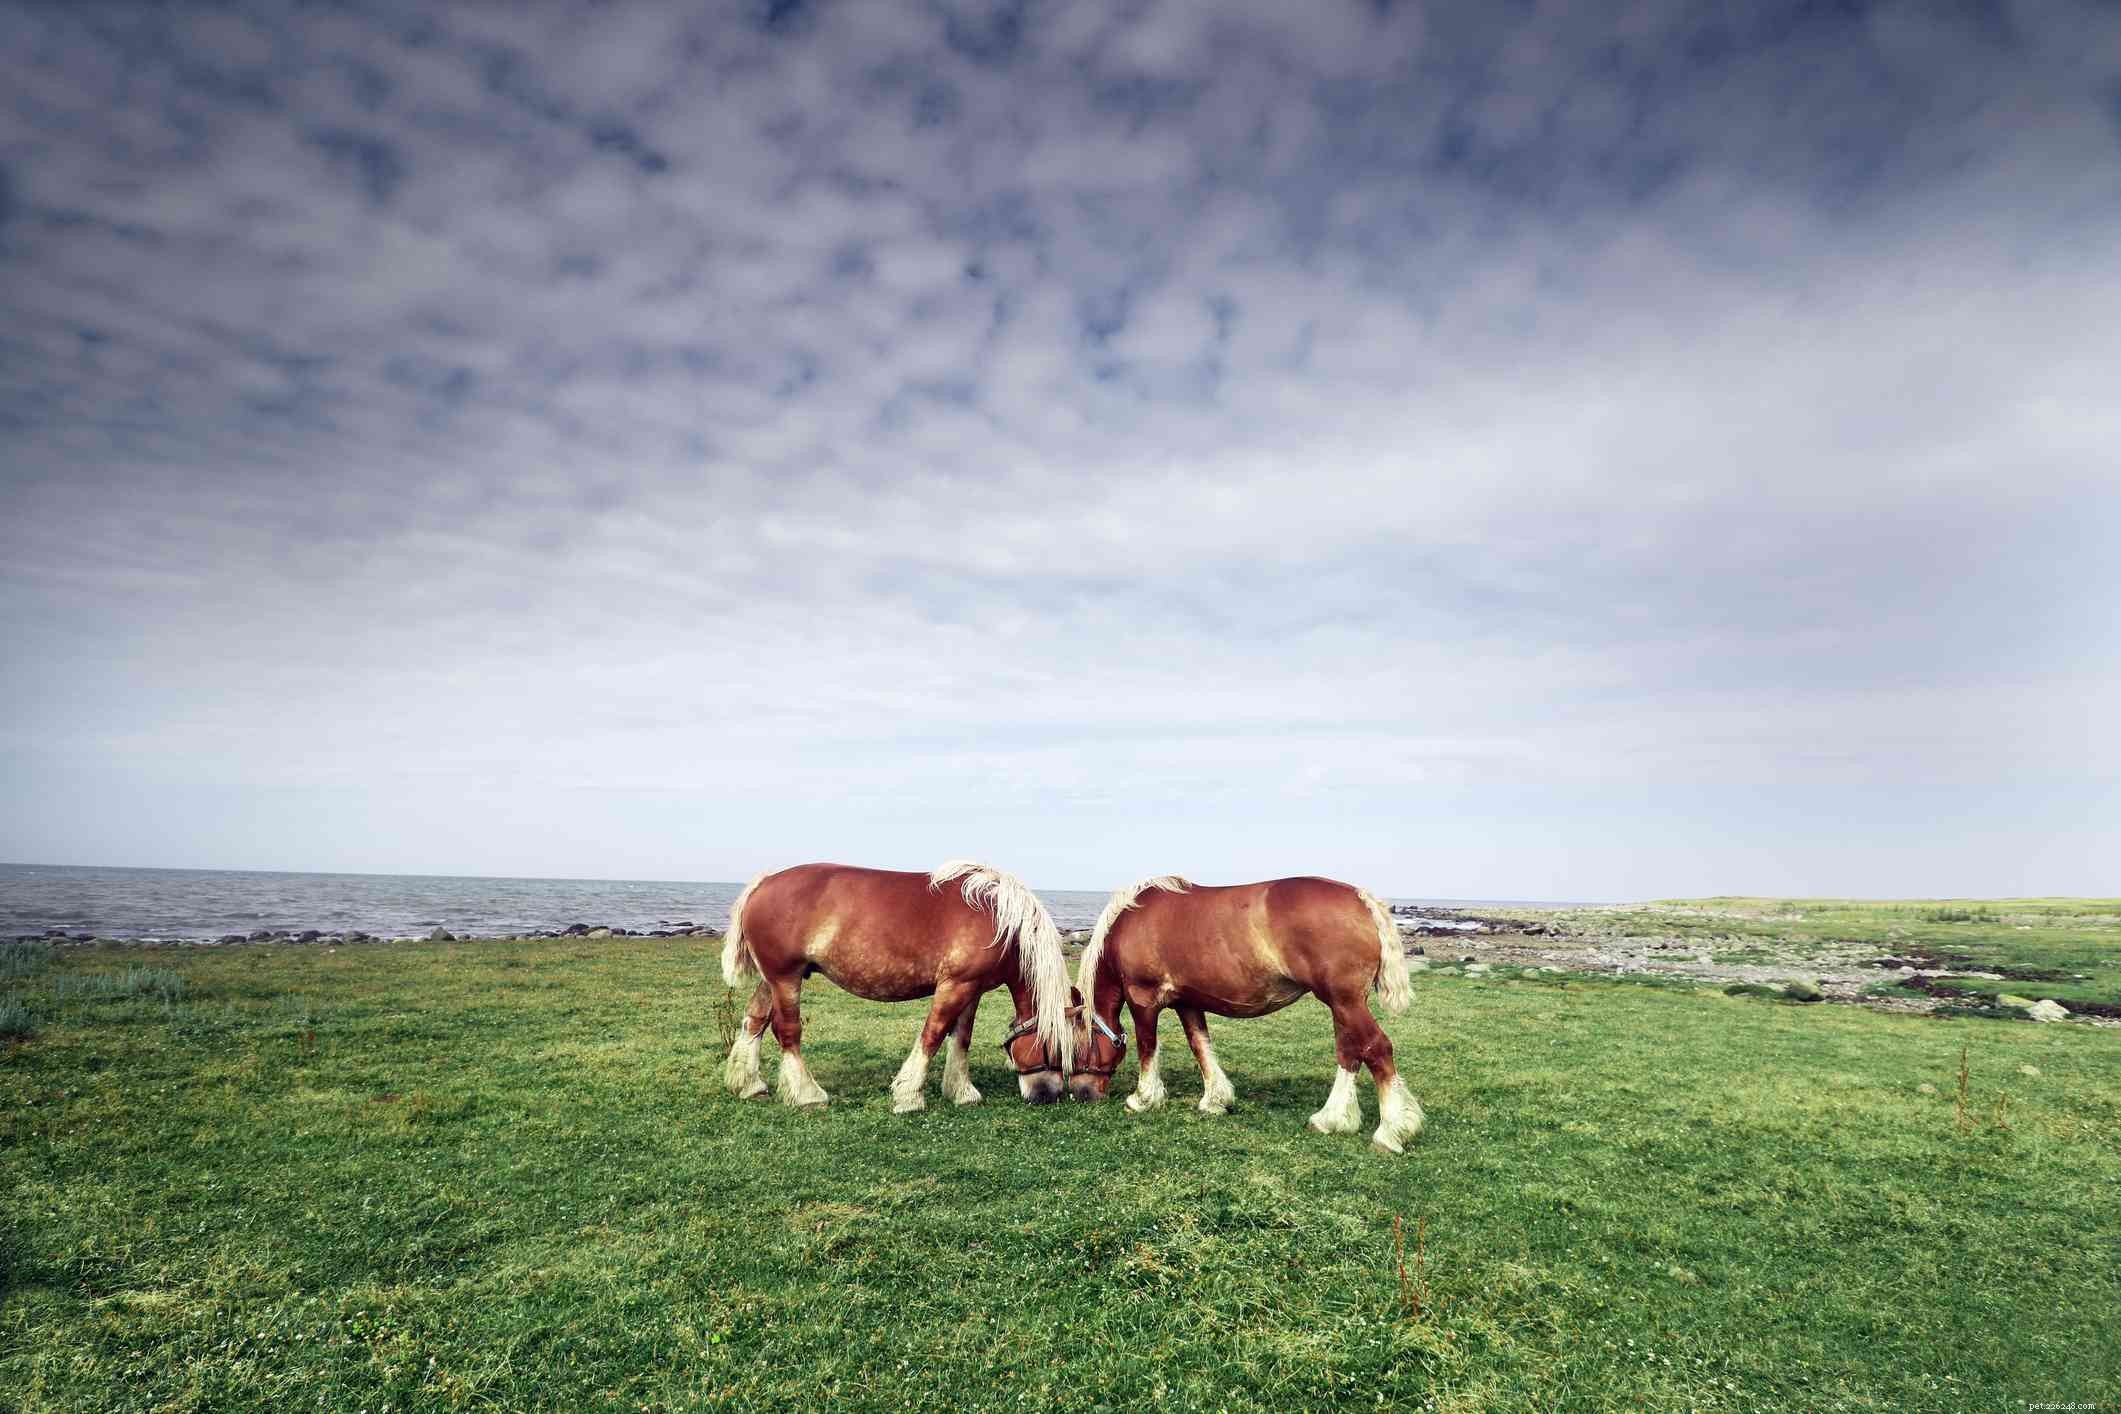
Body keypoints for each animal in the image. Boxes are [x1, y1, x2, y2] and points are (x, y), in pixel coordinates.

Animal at [719, 860, 1075, 1109]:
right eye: (1058, 1049)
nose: (1049, 1095)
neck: (999, 918)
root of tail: (763, 882)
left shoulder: (971, 990)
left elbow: (961, 1038)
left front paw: (961, 1092)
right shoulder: (955, 985)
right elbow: (933, 1035)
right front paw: (909, 1096)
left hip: (772, 979)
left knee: (754, 1021)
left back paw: (748, 1084)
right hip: (785, 978)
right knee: (787, 1031)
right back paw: (808, 1094)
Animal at [1066, 875, 1424, 1153]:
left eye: (1075, 1049)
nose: (1081, 1094)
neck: (1132, 921)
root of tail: (1362, 899)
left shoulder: (1143, 999)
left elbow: (1147, 1048)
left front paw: (1142, 1099)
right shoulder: (1188, 1003)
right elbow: (1200, 1046)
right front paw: (1215, 1100)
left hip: (1345, 1002)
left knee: (1376, 1048)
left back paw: (1390, 1132)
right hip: (1342, 1004)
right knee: (1350, 1053)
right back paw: (1331, 1119)